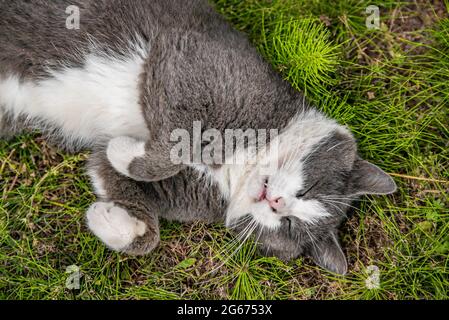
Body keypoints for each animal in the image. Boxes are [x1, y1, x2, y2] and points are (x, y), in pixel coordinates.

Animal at [0, 0, 396, 276]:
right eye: (308, 191)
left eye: (289, 226)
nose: (277, 204)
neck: (240, 167)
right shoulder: (188, 56)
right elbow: (178, 145)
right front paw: (127, 153)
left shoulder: (182, 190)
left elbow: (123, 191)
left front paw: (112, 218)